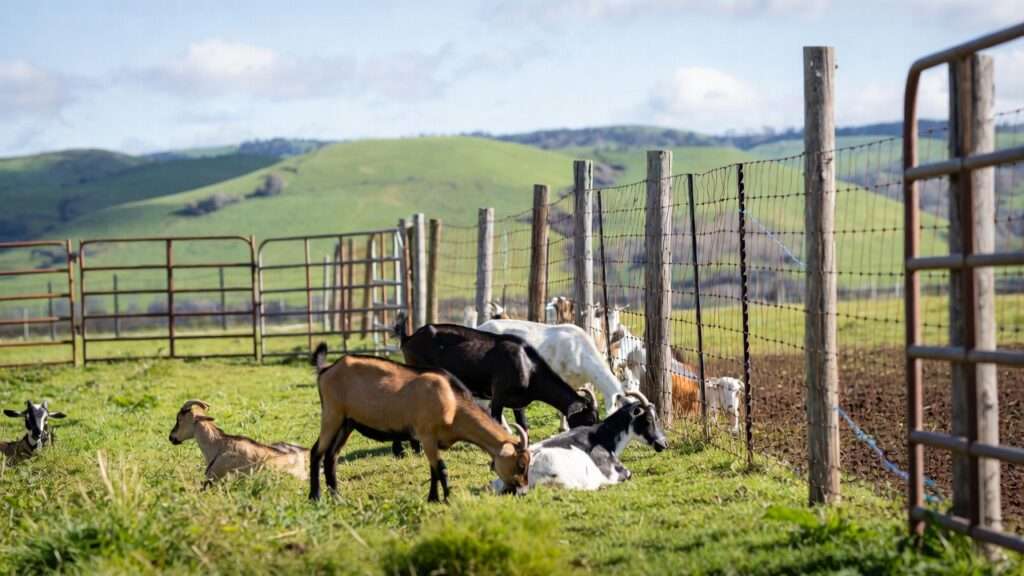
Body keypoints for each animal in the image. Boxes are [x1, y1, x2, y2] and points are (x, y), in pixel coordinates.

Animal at [308, 343, 530, 502]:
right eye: (520, 464)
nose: (522, 490)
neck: (452, 401)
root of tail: (326, 370)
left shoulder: (432, 441)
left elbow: (433, 469)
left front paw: (433, 498)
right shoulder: (426, 434)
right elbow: (441, 467)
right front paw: (447, 498)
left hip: (347, 423)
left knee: (331, 456)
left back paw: (337, 497)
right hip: (332, 415)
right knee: (316, 452)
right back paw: (315, 497)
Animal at [393, 313, 598, 432]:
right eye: (589, 419)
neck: (528, 365)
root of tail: (408, 337)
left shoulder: (518, 403)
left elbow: (523, 427)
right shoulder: (498, 396)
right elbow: (497, 422)